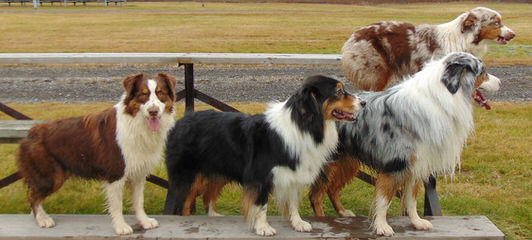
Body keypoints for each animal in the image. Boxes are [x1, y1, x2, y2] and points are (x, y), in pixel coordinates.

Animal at [16, 72, 177, 234]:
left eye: (161, 93)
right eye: (142, 95)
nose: (153, 111)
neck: (137, 123)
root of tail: (31, 133)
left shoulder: (138, 173)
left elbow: (138, 201)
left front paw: (144, 221)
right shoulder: (115, 173)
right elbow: (117, 205)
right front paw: (121, 227)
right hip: (51, 177)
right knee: (33, 198)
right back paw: (43, 219)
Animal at [166, 75, 366, 236]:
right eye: (339, 91)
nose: (364, 102)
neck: (303, 125)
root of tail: (181, 121)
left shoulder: (294, 173)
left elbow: (293, 201)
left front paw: (298, 223)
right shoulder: (260, 175)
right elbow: (261, 204)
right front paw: (263, 227)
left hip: (219, 171)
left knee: (208, 195)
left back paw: (214, 216)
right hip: (188, 177)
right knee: (183, 204)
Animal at [336, 52, 498, 236]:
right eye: (483, 71)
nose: (500, 82)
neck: (440, 100)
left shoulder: (417, 165)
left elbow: (411, 199)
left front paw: (417, 222)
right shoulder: (394, 165)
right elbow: (384, 199)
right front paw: (382, 226)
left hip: (344, 162)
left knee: (325, 190)